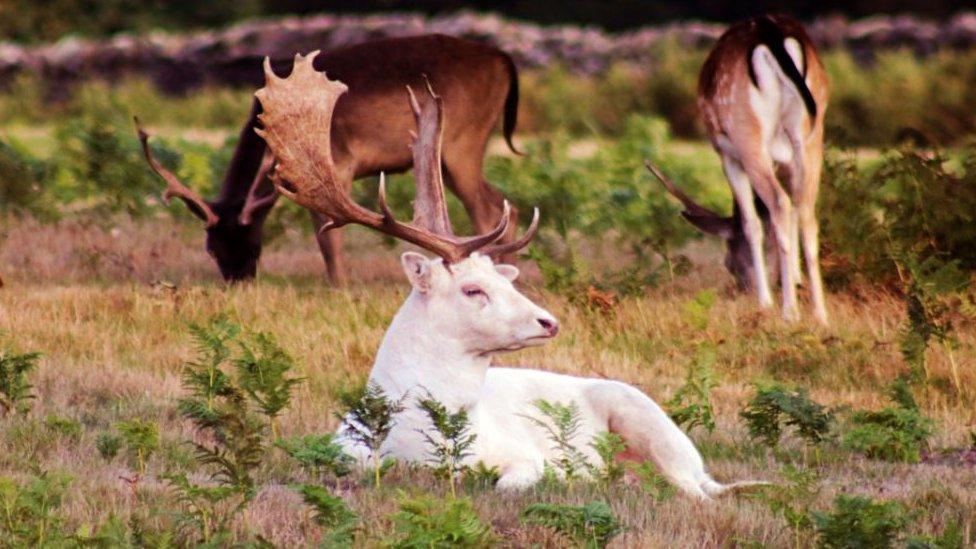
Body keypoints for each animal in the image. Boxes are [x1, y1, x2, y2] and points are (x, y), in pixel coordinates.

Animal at [135, 33, 528, 282]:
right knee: (503, 204)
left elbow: (326, 236)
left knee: (487, 208)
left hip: (463, 141)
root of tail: (505, 60)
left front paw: (339, 287)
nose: (238, 281)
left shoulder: (338, 162)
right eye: (212, 249)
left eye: (254, 244)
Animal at [255, 53, 768, 498]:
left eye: (510, 282)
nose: (549, 321)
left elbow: (510, 482)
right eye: (473, 289)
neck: (414, 442)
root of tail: (701, 466)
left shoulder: (522, 455)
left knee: (695, 492)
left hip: (652, 426)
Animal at [648, 15, 832, 324]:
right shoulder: (785, 158)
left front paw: (766, 300)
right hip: (811, 133)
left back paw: (788, 310)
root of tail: (773, 36)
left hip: (747, 134)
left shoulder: (728, 155)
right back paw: (820, 313)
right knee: (806, 208)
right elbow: (794, 212)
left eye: (728, 262)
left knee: (779, 202)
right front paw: (795, 280)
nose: (740, 289)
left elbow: (751, 222)